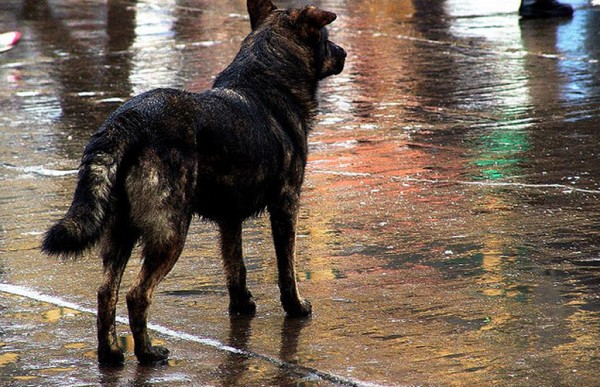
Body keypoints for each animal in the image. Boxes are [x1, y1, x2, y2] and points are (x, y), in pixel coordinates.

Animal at [41, 0, 346, 366]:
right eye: (325, 38)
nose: (344, 53)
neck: (265, 80)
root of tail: (126, 120)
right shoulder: (286, 205)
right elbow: (286, 268)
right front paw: (296, 307)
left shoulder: (230, 219)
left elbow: (236, 267)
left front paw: (242, 306)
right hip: (170, 232)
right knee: (136, 294)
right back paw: (147, 352)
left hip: (121, 233)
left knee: (105, 293)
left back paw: (111, 353)